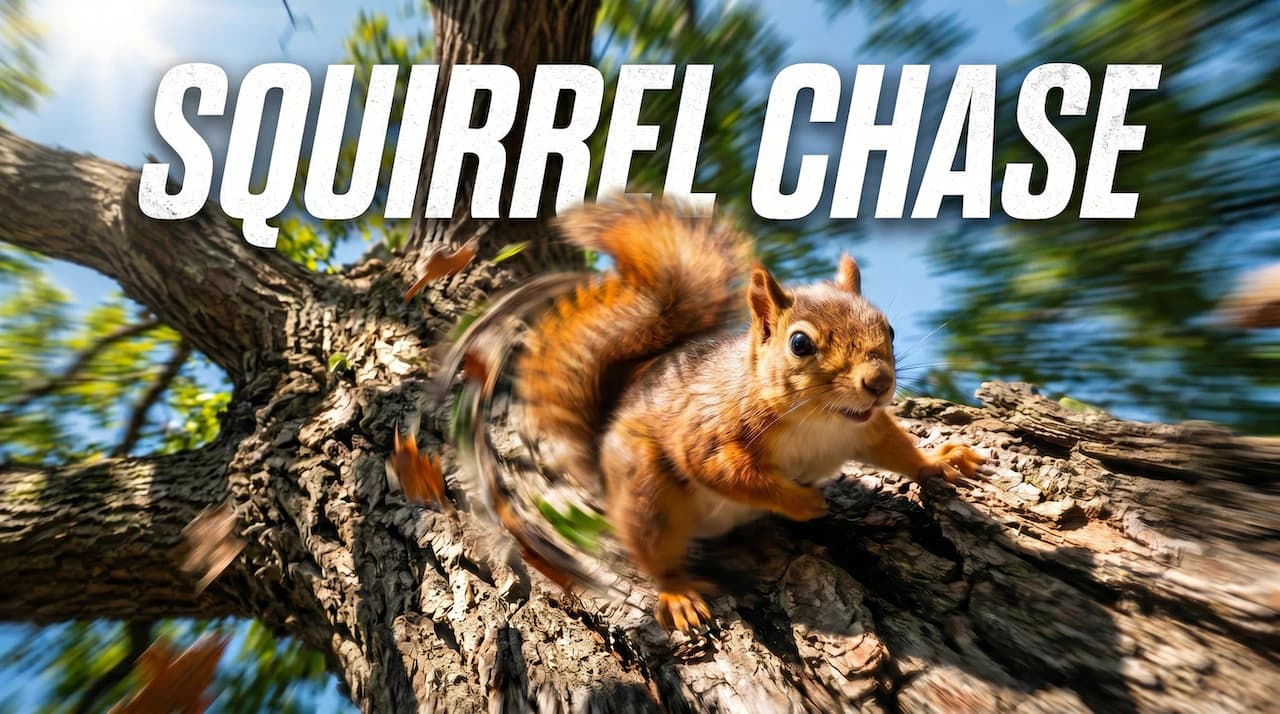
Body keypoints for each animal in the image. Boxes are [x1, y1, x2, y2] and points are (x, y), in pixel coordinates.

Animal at [446, 197, 984, 634]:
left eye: (888, 329)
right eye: (800, 344)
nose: (878, 383)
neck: (820, 421)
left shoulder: (864, 429)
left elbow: (898, 450)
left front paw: (942, 461)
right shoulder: (709, 429)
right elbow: (725, 471)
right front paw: (801, 501)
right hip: (646, 490)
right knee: (657, 552)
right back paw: (679, 594)